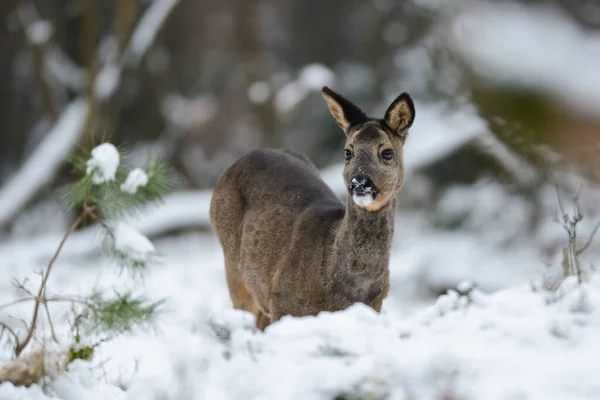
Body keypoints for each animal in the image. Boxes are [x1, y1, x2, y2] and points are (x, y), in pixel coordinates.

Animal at [212, 86, 418, 330]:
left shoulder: (374, 308)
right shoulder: (282, 302)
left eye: (387, 152)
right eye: (348, 152)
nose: (359, 183)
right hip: (233, 268)